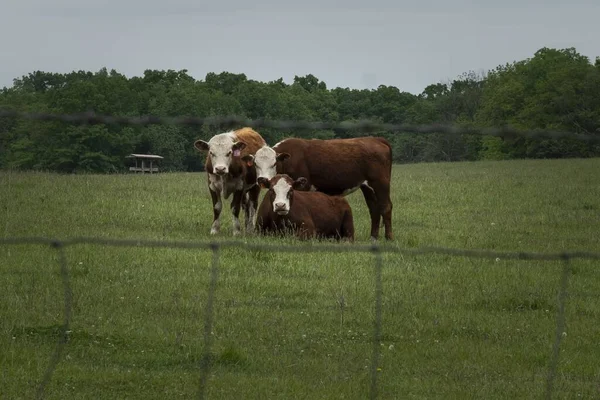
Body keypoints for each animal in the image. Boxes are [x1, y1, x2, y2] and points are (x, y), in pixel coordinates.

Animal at [241, 137, 396, 241]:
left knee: (386, 207)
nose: (261, 179)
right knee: (374, 210)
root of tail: (375, 139)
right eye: (255, 163)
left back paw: (388, 238)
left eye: (274, 163)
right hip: (367, 187)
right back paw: (373, 237)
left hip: (380, 184)